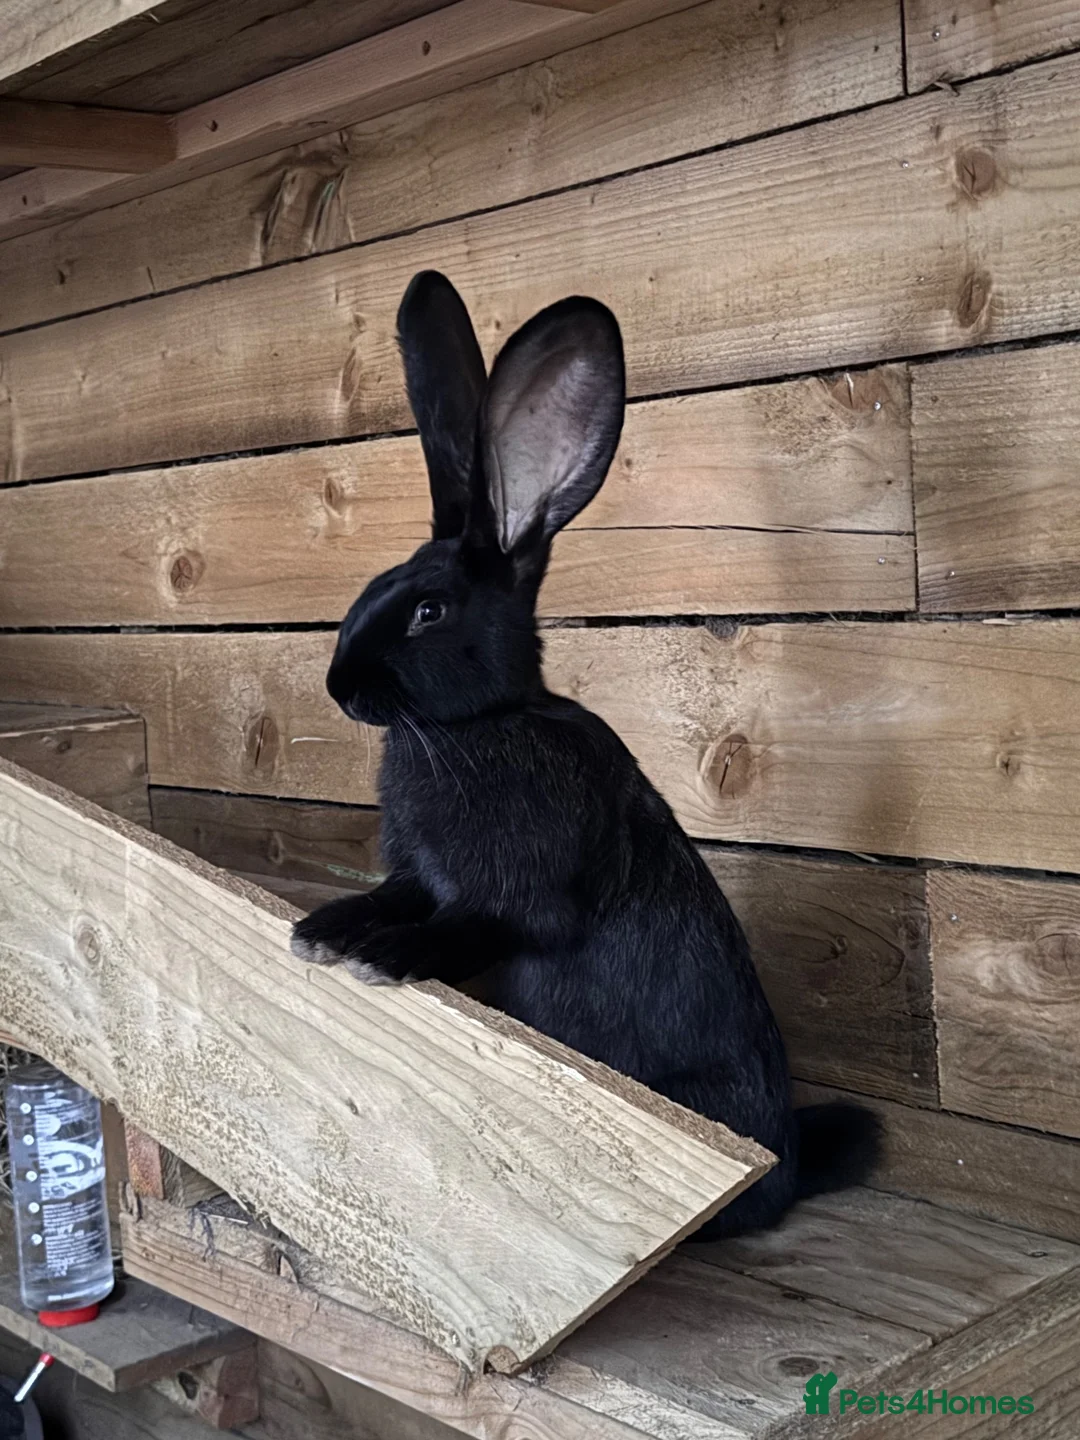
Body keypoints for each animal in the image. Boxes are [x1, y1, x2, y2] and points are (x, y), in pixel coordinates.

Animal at [290, 271, 878, 1237]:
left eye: (428, 613)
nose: (338, 687)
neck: (480, 724)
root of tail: (789, 1169)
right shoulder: (419, 874)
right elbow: (391, 895)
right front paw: (326, 930)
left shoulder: (522, 899)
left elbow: (469, 927)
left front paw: (384, 956)